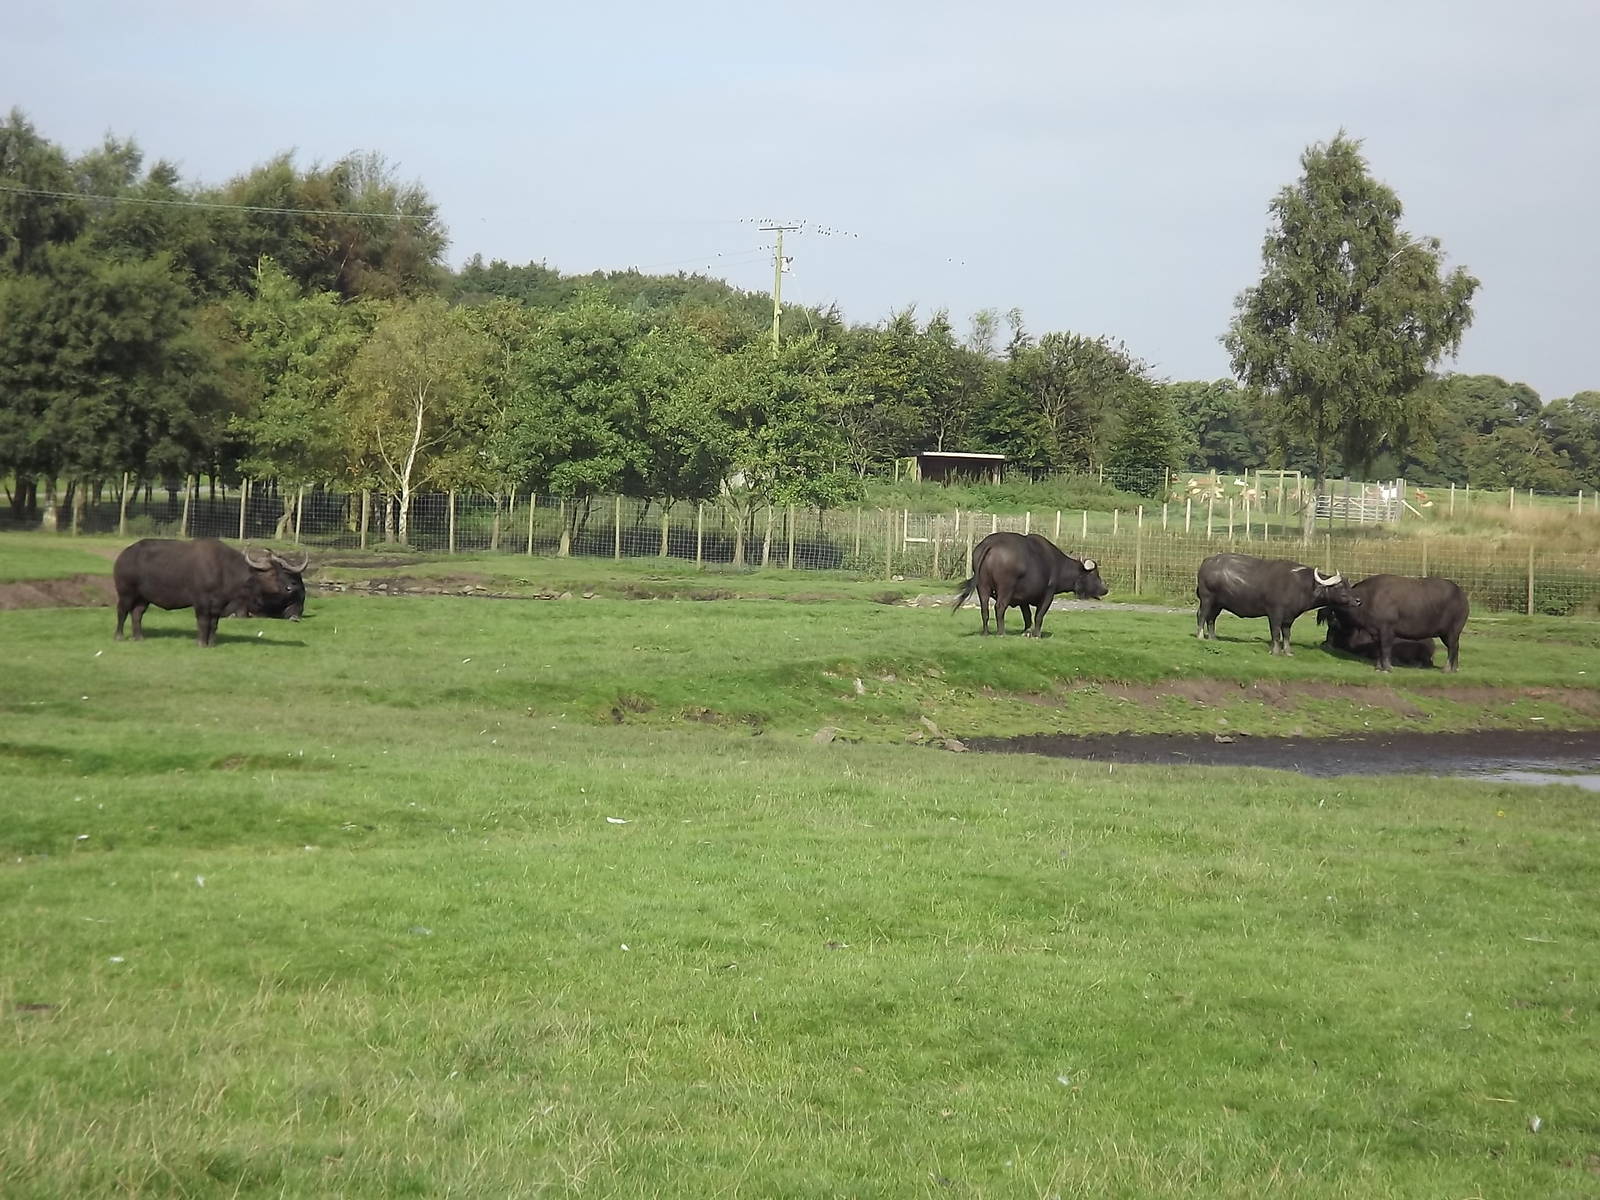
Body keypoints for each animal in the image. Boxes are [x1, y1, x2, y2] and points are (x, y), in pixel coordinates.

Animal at [114, 538, 310, 647]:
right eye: (271, 573)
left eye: (283, 570)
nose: (290, 588)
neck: (225, 570)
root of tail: (123, 556)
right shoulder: (201, 602)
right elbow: (202, 622)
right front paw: (201, 643)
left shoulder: (218, 605)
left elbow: (213, 624)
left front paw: (212, 643)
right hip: (126, 593)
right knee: (122, 612)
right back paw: (119, 636)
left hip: (143, 597)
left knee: (137, 614)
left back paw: (139, 637)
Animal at [953, 531, 1108, 637]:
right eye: (1095, 575)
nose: (1105, 590)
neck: (1058, 565)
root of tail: (990, 544)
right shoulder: (1048, 594)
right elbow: (1039, 615)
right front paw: (1036, 634)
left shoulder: (1023, 599)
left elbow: (1027, 615)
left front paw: (1026, 631)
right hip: (1006, 588)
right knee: (1000, 607)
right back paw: (1001, 632)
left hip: (982, 586)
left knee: (984, 608)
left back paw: (986, 632)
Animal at [1195, 552, 1358, 655]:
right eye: (1339, 587)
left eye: (1349, 585)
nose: (1357, 600)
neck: (1301, 586)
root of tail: (1207, 562)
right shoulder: (1275, 613)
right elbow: (1275, 632)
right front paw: (1275, 651)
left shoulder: (1289, 617)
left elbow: (1286, 633)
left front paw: (1288, 651)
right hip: (1207, 599)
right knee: (1202, 615)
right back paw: (1200, 636)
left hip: (1218, 604)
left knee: (1211, 619)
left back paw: (1213, 638)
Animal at [1320, 574, 1469, 672]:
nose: (1324, 613)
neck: (1369, 599)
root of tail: (1462, 596)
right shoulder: (1376, 633)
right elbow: (1379, 649)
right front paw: (1379, 666)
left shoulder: (1387, 630)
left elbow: (1385, 648)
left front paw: (1387, 667)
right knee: (1456, 647)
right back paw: (1454, 668)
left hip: (1452, 630)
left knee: (1452, 647)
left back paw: (1447, 669)